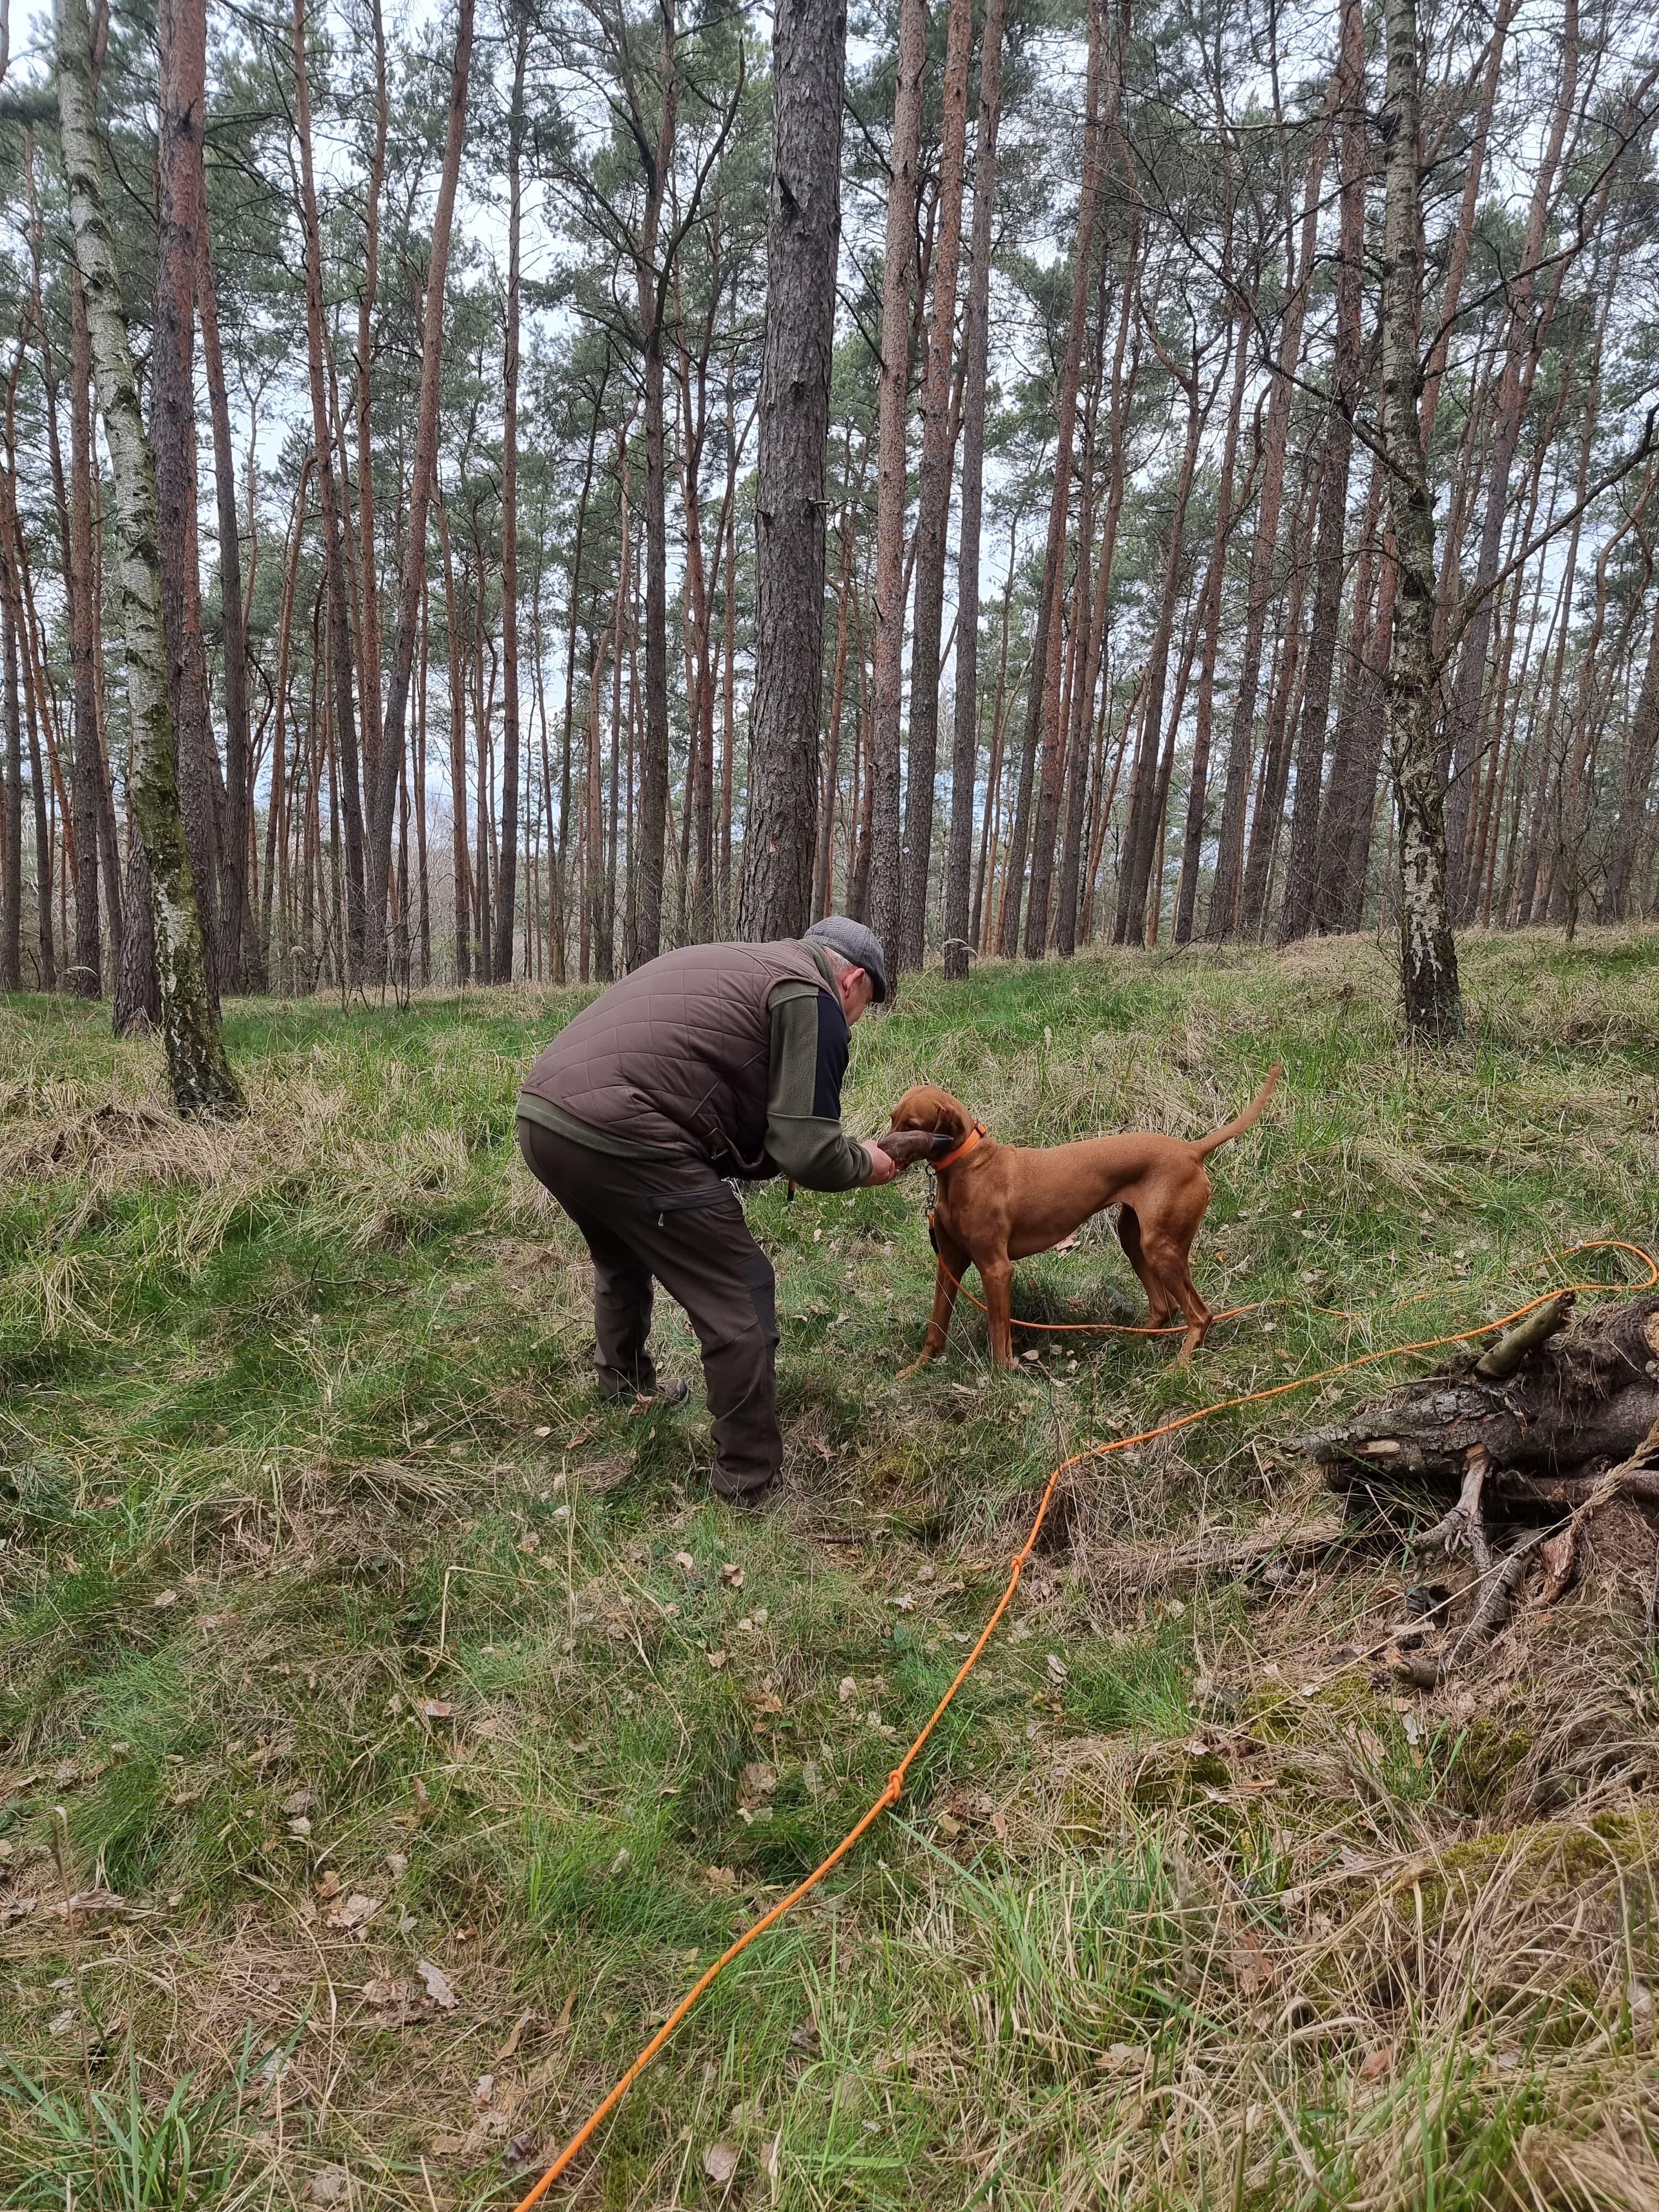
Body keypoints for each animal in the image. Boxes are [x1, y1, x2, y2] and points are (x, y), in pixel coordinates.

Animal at [884, 1068, 1281, 1369]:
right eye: (893, 1119)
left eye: (912, 1125)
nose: (881, 1148)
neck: (968, 1166)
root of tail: (1190, 1150)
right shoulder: (949, 1263)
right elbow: (936, 1327)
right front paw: (915, 1372)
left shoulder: (996, 1269)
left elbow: (999, 1335)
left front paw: (1002, 1380)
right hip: (1133, 1239)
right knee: (1164, 1307)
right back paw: (1134, 1345)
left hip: (1161, 1248)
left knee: (1200, 1315)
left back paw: (1179, 1367)